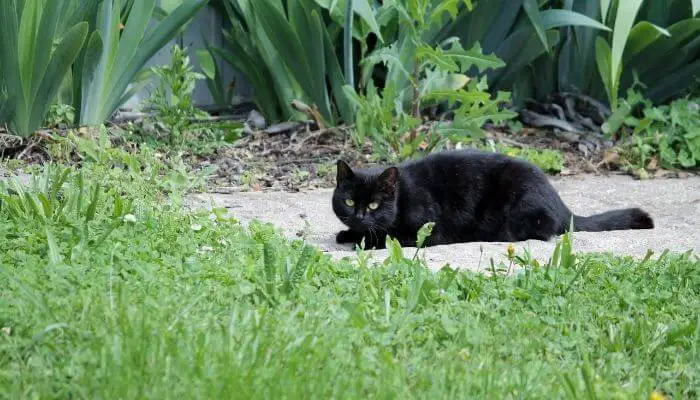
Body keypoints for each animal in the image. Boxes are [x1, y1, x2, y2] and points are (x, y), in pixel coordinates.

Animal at [330, 150, 652, 248]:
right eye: (349, 202)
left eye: (374, 204)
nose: (359, 216)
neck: (403, 195)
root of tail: (562, 205)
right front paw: (348, 233)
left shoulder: (429, 230)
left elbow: (389, 236)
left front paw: (363, 239)